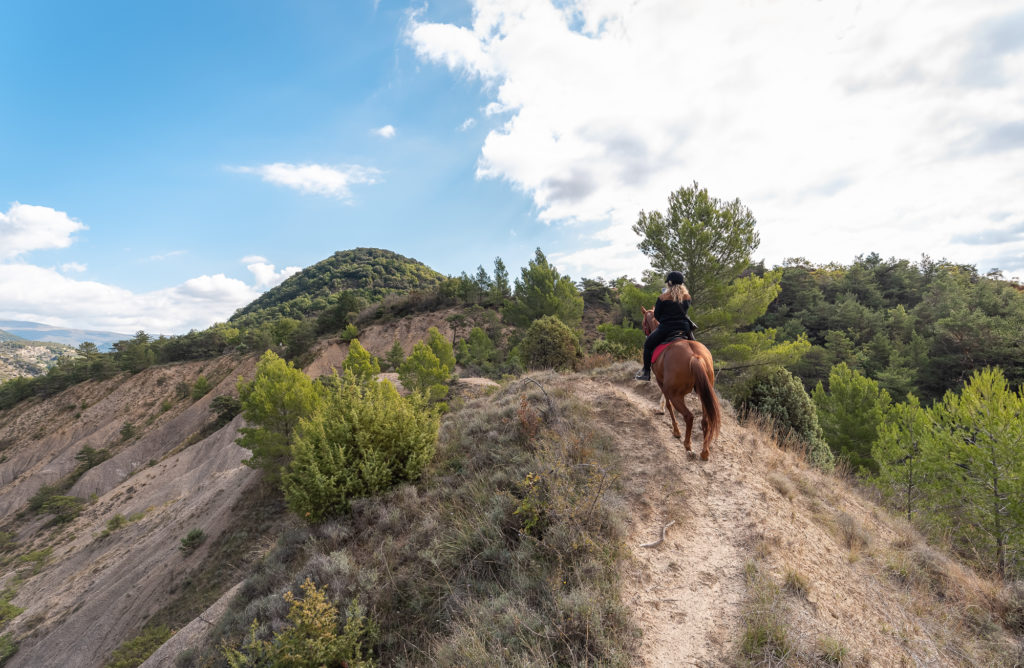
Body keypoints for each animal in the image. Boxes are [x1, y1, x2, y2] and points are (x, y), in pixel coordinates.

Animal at [638, 307, 720, 458]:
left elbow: (668, 405)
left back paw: (687, 445)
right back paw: (705, 451)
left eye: (643, 322)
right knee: (705, 420)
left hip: (677, 395)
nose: (646, 334)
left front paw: (675, 430)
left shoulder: (661, 382)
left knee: (689, 416)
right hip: (703, 392)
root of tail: (695, 356)